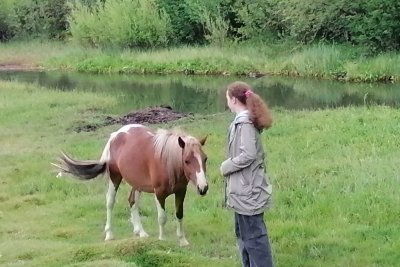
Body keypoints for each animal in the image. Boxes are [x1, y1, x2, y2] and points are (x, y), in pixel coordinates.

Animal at [52, 123, 209, 247]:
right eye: (187, 160)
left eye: (205, 158)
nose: (203, 188)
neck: (167, 161)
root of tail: (116, 134)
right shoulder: (159, 194)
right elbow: (162, 218)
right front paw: (162, 240)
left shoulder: (181, 191)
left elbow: (179, 214)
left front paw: (182, 241)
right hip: (115, 177)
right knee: (110, 202)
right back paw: (109, 234)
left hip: (136, 183)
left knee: (132, 201)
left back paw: (140, 232)